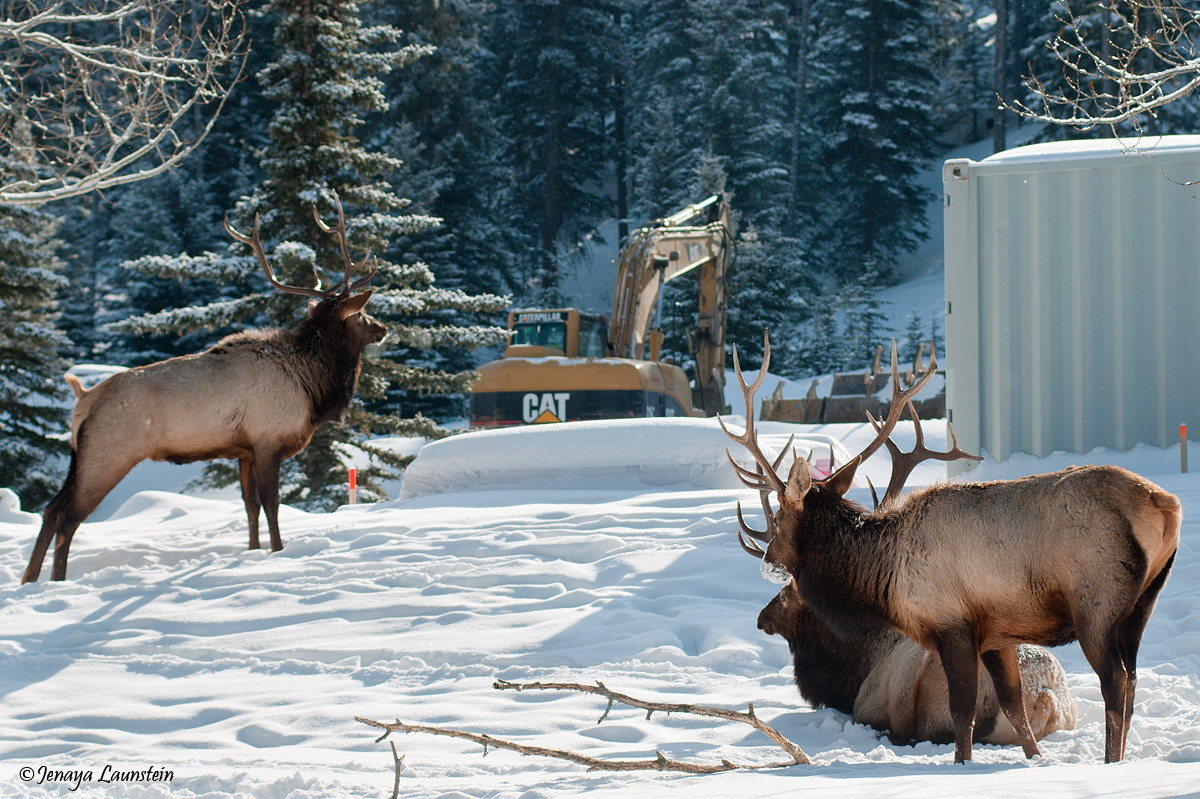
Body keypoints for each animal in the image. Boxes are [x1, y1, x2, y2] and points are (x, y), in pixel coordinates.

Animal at [21, 196, 387, 583]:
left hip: (80, 456)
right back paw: (56, 580)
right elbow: (272, 503)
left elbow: (250, 506)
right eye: (361, 314)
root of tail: (83, 400)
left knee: (50, 508)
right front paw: (278, 550)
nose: (382, 328)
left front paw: (253, 551)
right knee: (69, 518)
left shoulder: (244, 450)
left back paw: (29, 579)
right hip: (108, 455)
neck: (313, 385)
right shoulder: (267, 440)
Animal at [723, 332, 1179, 764]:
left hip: (1096, 604)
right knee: (1131, 680)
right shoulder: (997, 632)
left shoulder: (952, 623)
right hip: (1143, 604)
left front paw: (962, 765)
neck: (885, 581)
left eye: (780, 518)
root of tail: (1165, 505)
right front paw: (1035, 760)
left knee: (1115, 683)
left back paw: (1111, 763)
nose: (768, 562)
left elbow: (964, 714)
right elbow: (1014, 709)